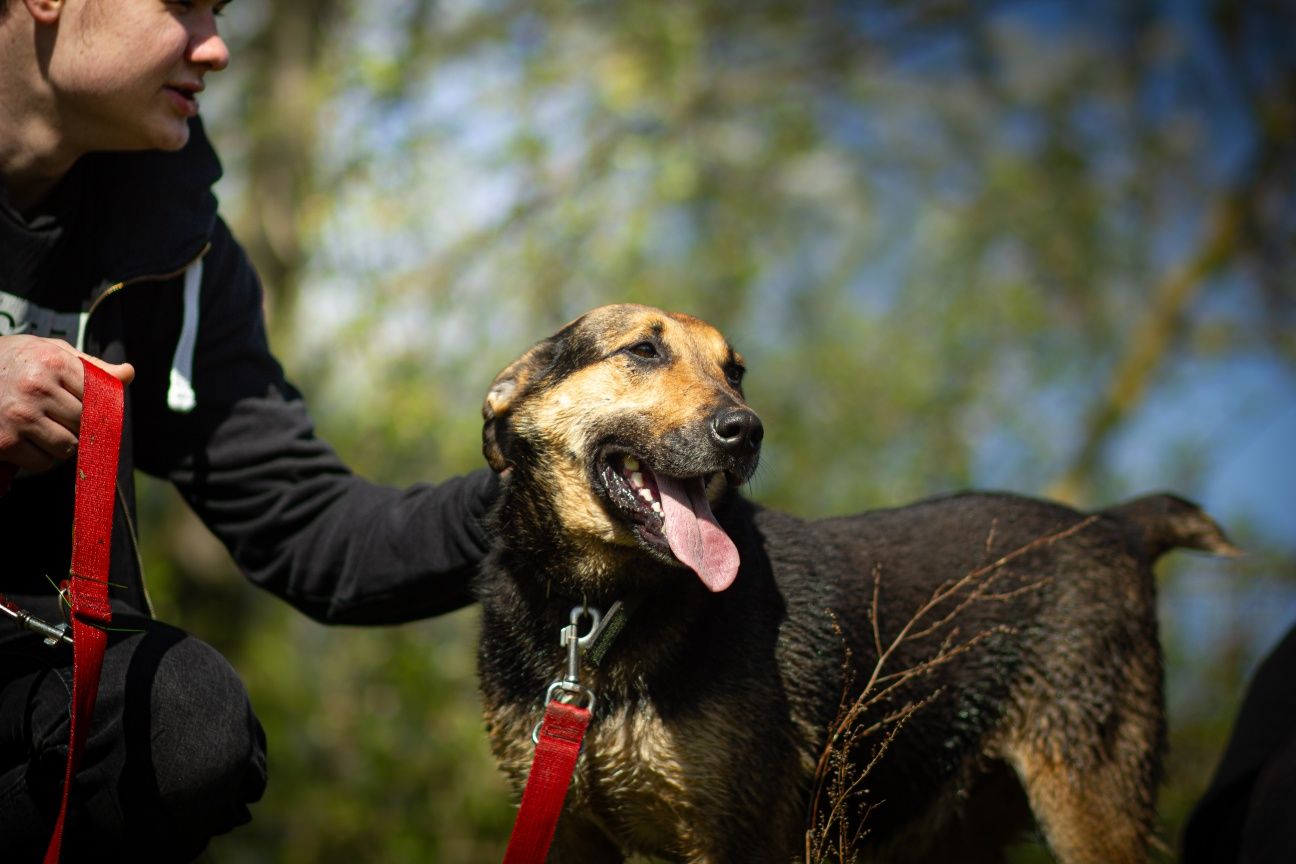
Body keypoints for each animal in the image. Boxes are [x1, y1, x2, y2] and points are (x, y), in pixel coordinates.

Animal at [474, 300, 1233, 860]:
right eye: (642, 351)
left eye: (736, 371)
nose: (746, 430)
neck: (605, 605)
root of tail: (1115, 524)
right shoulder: (568, 830)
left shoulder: (735, 836)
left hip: (1091, 803)